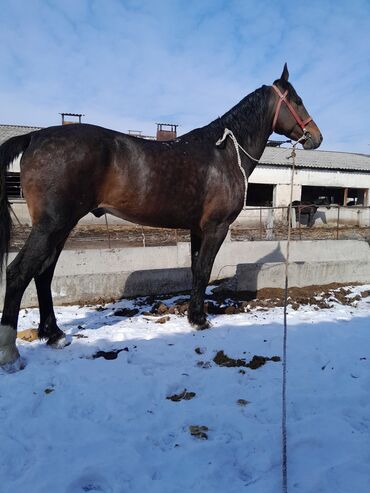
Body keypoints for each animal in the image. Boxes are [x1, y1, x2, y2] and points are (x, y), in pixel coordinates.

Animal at [0, 62, 322, 368]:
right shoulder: (216, 227)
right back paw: (11, 353)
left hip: (62, 227)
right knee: (19, 273)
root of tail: (34, 137)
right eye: (297, 100)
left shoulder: (198, 229)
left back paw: (54, 334)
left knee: (43, 273)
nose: (316, 137)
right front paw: (200, 320)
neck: (225, 154)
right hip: (51, 226)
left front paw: (194, 316)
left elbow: (196, 270)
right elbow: (204, 270)